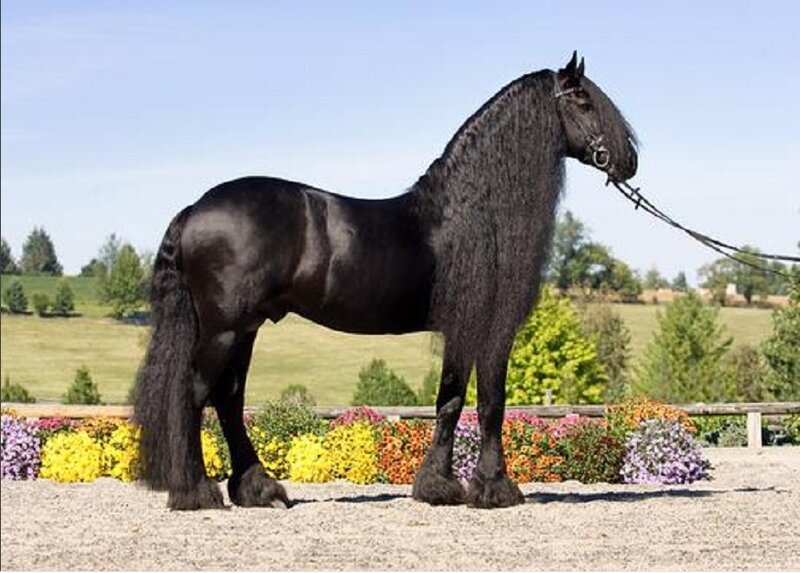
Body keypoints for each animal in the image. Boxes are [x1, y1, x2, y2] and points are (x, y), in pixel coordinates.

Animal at [134, 52, 638, 510]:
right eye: (583, 101)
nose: (629, 160)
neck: (472, 212)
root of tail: (195, 209)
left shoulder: (460, 328)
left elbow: (450, 400)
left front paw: (438, 487)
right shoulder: (490, 327)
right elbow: (490, 400)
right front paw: (495, 489)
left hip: (245, 328)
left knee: (229, 400)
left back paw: (260, 491)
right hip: (224, 329)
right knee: (194, 395)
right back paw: (196, 492)